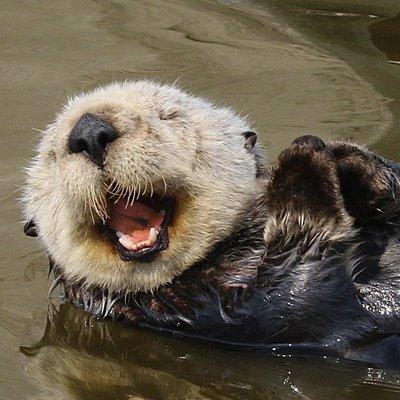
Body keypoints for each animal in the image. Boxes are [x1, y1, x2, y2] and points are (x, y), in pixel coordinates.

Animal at [21, 79, 400, 364]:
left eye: (169, 116)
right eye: (52, 153)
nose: (89, 132)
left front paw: (354, 162)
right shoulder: (223, 318)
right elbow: (303, 297)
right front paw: (302, 164)